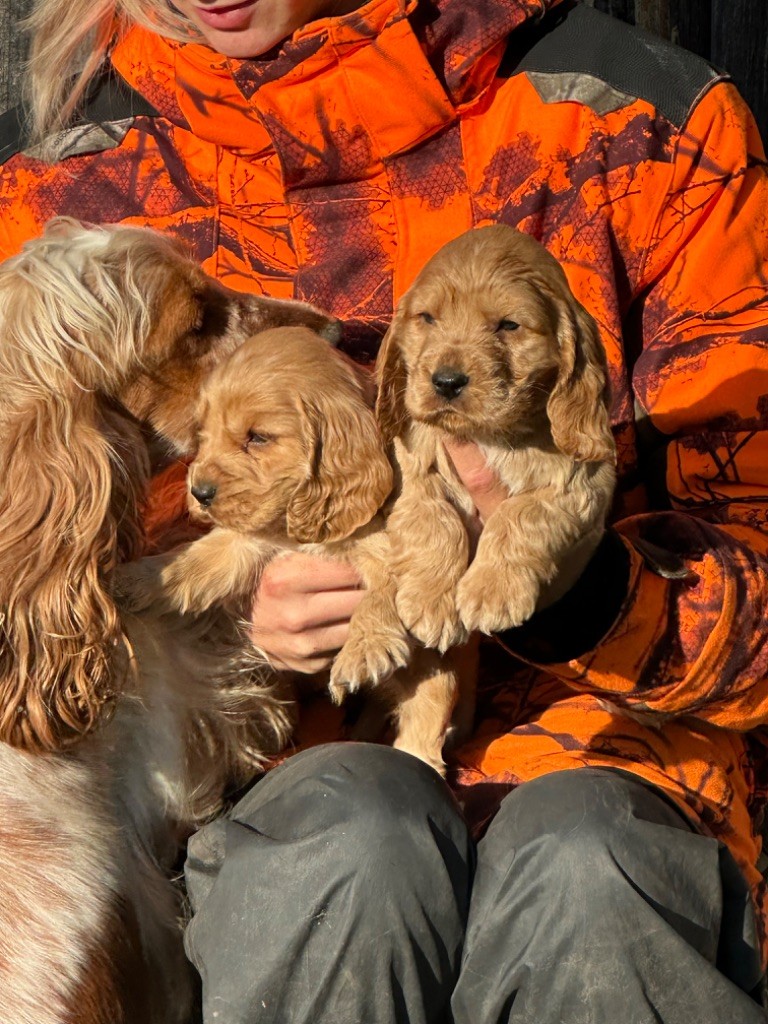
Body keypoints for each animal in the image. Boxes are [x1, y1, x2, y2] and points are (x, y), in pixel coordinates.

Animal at [376, 228, 618, 651]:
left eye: (508, 325)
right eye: (427, 318)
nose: (446, 381)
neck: (487, 433)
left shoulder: (586, 480)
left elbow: (522, 512)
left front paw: (492, 590)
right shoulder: (409, 472)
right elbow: (434, 518)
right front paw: (430, 600)